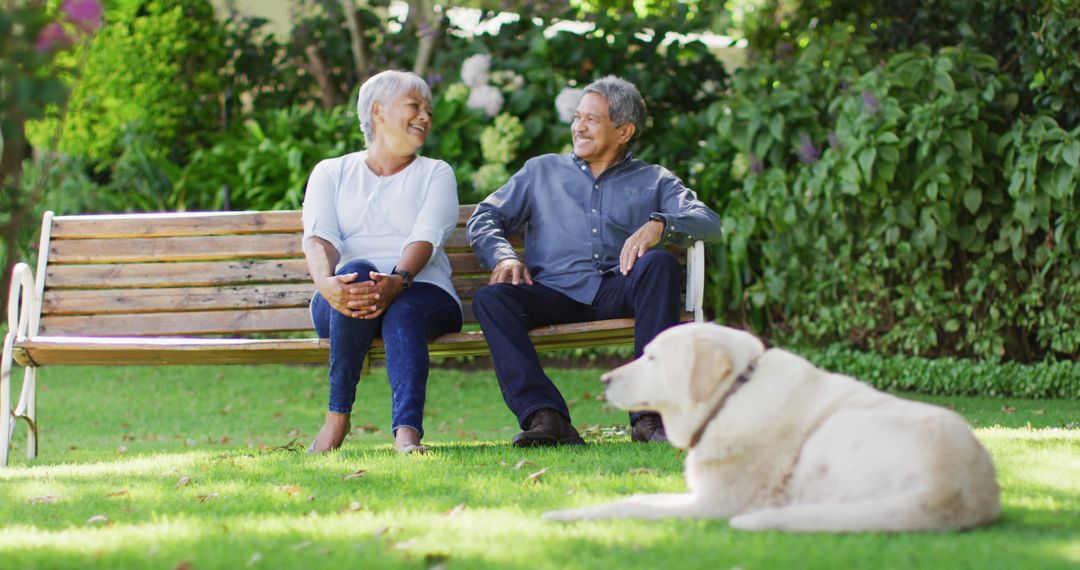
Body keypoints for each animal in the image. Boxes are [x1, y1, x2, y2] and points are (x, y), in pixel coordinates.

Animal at [544, 326, 997, 535]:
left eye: (652, 358)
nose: (603, 380)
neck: (732, 396)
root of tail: (954, 490)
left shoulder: (711, 505)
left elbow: (627, 506)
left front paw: (565, 515)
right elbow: (634, 497)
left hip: (836, 434)